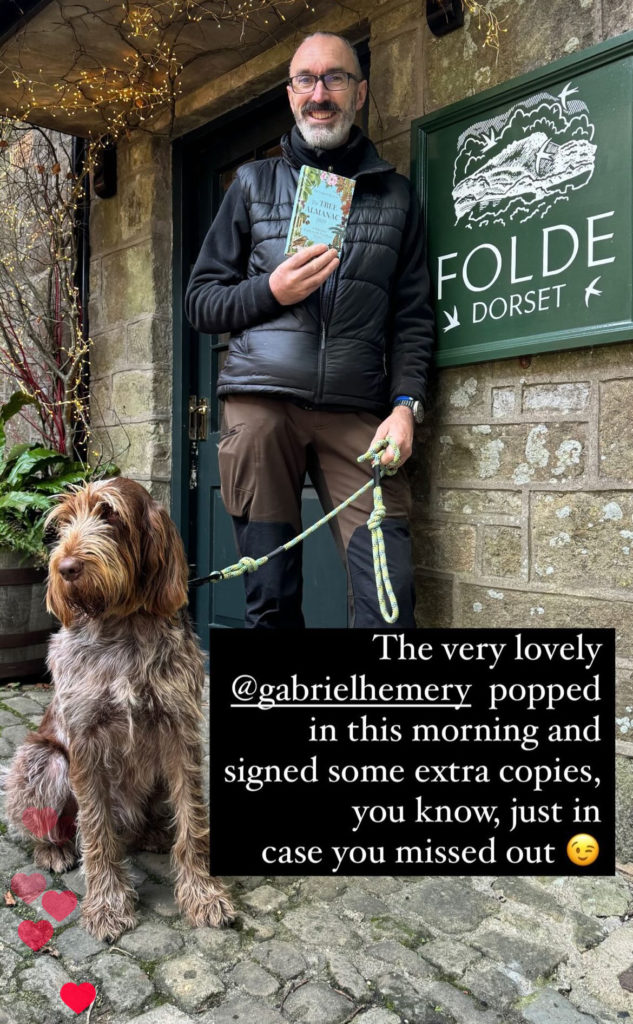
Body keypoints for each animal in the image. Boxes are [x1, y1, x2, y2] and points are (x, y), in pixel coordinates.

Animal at [3, 479, 234, 942]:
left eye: (109, 515)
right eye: (63, 523)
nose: (66, 567)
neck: (123, 626)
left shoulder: (180, 731)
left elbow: (192, 818)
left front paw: (202, 893)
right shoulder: (86, 742)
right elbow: (96, 830)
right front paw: (108, 903)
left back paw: (153, 832)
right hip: (43, 759)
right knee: (47, 821)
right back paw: (52, 848)